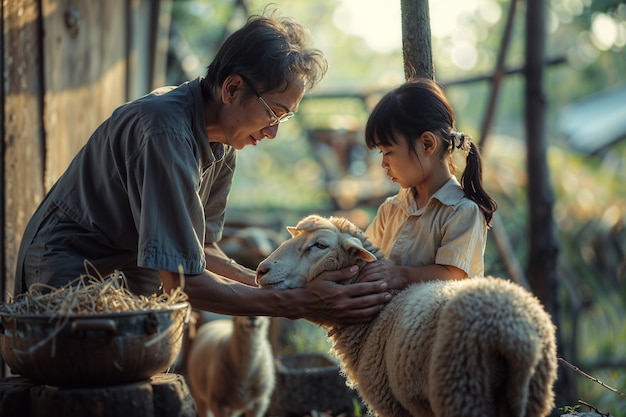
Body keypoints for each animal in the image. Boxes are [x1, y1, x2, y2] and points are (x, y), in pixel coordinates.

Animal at [254, 214, 556, 416]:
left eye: (320, 245)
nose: (261, 270)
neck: (377, 317)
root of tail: (513, 332)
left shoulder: (391, 404)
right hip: (531, 394)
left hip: (462, 388)